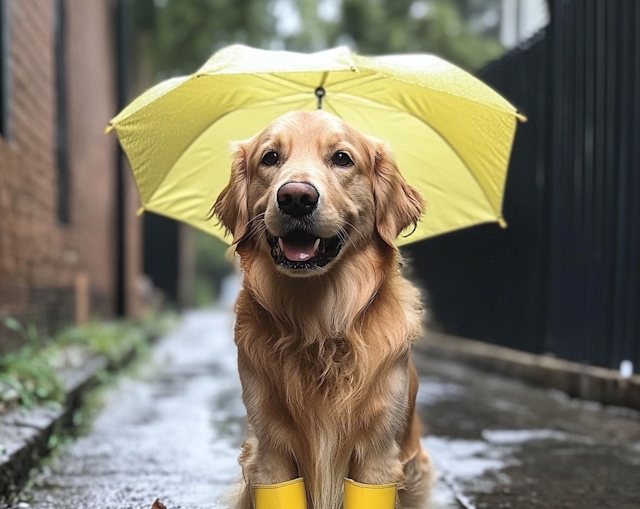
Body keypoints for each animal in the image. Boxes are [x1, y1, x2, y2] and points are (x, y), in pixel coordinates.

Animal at [214, 109, 430, 506]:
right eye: (270, 157)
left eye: (342, 158)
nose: (296, 197)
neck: (318, 323)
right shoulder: (270, 450)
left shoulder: (377, 454)